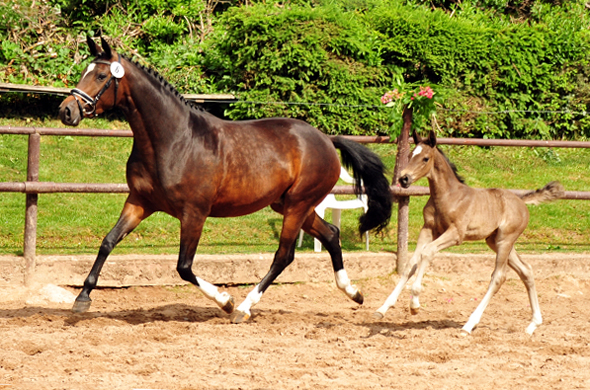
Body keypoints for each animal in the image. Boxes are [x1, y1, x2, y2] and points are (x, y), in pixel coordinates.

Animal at [59, 37, 394, 322]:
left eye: (101, 76)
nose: (66, 111)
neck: (173, 139)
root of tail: (326, 139)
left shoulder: (194, 213)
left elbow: (184, 267)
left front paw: (225, 301)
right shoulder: (140, 201)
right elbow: (108, 242)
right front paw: (82, 298)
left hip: (298, 205)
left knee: (283, 255)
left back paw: (244, 308)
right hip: (291, 205)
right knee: (331, 234)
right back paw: (354, 293)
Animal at [376, 131, 568, 336]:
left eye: (425, 158)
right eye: (411, 154)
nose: (403, 179)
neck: (447, 196)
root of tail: (521, 201)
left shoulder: (456, 234)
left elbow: (428, 252)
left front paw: (415, 305)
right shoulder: (428, 229)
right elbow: (411, 263)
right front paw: (383, 308)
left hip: (505, 241)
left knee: (498, 277)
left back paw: (469, 324)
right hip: (495, 241)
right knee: (526, 270)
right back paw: (533, 324)